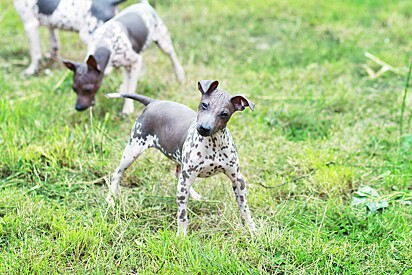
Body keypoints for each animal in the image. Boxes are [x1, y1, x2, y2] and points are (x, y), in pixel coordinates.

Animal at [105, 80, 254, 237]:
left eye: (224, 114)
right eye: (204, 105)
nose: (204, 128)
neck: (213, 144)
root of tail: (153, 102)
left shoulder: (238, 179)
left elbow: (244, 208)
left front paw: (251, 228)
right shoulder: (186, 181)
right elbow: (182, 215)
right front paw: (181, 235)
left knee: (179, 176)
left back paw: (194, 195)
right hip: (133, 149)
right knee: (117, 173)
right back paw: (110, 198)